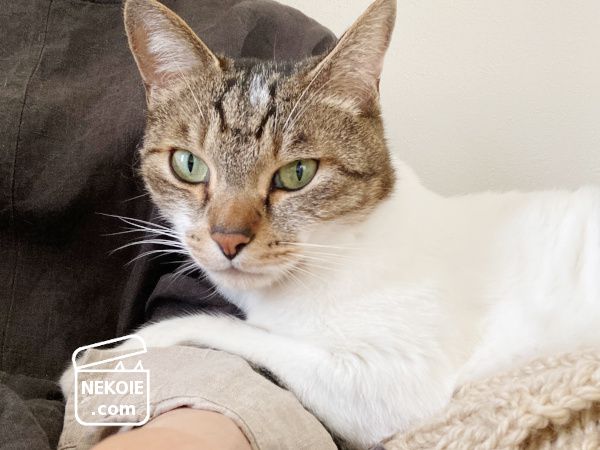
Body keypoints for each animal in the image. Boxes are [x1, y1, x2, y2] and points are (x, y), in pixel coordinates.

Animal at [65, 0, 600, 448]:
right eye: (189, 165)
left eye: (297, 174)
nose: (228, 238)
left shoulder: (394, 380)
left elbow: (220, 328)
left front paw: (102, 364)